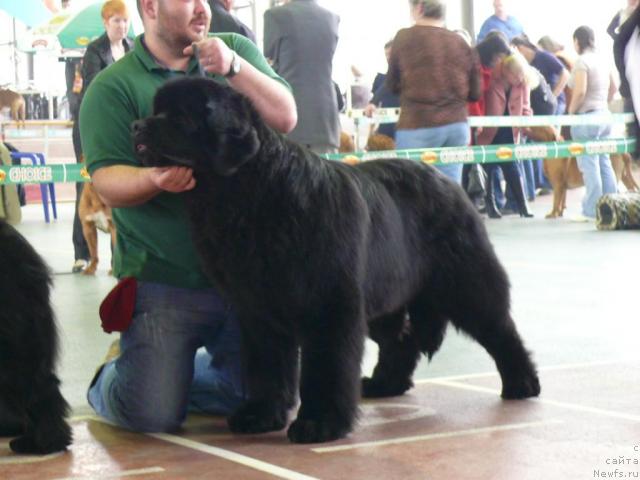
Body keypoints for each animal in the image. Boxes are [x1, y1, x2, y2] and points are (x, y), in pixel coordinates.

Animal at [134, 77, 540, 444]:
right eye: (156, 110)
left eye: (180, 117)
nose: (138, 126)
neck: (250, 195)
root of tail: (444, 178)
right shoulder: (258, 309)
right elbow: (267, 365)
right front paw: (260, 415)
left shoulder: (329, 305)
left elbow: (326, 366)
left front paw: (319, 424)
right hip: (386, 297)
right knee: (400, 341)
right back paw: (384, 384)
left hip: (464, 283)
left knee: (499, 329)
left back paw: (522, 383)